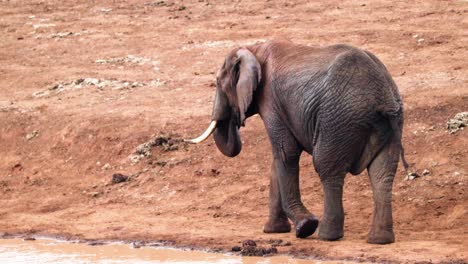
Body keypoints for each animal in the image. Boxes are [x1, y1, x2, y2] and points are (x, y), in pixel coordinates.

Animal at [185, 40, 408, 244]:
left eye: (217, 82)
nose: (237, 120)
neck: (254, 48)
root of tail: (382, 98)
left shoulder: (270, 100)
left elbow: (286, 152)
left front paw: (305, 226)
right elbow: (277, 160)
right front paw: (274, 230)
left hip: (339, 121)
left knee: (328, 169)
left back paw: (326, 236)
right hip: (389, 123)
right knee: (382, 173)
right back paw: (380, 240)